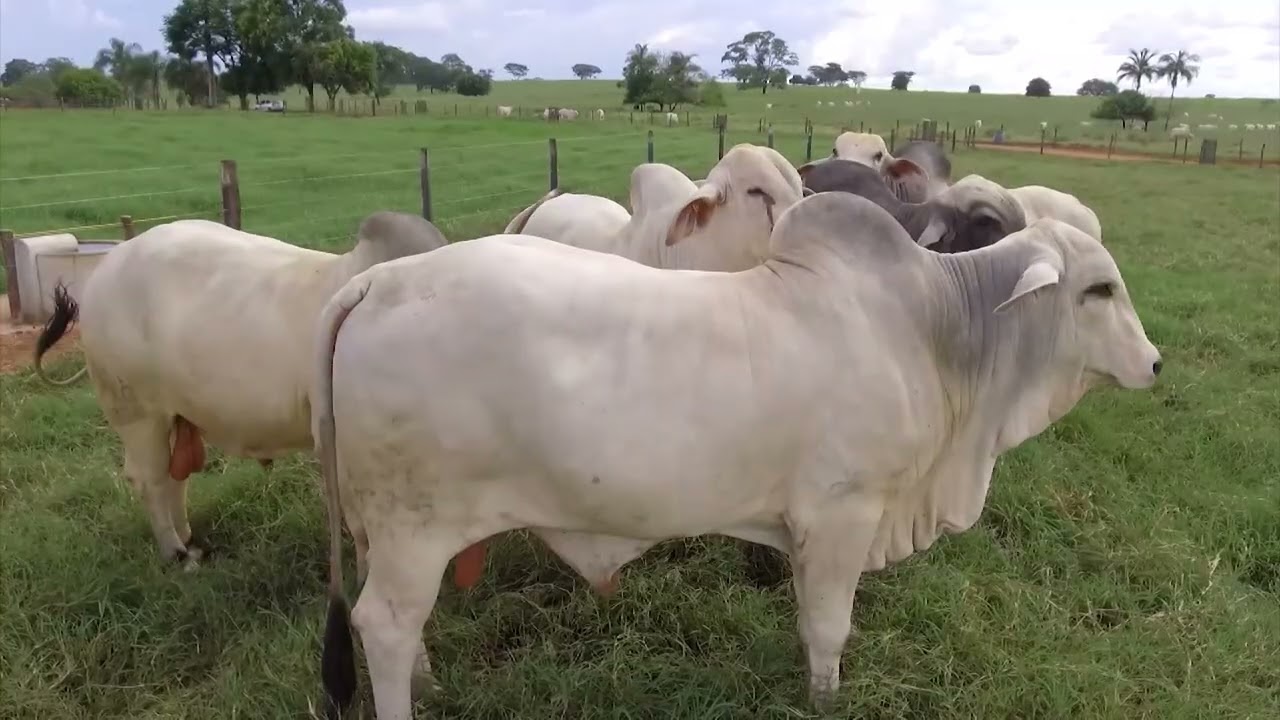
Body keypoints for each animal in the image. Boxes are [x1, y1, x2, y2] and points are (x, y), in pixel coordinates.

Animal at [31, 212, 449, 566]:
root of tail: (109, 264)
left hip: (175, 413)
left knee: (173, 478)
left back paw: (190, 540)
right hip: (136, 410)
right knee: (149, 478)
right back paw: (176, 554)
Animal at [311, 192, 1163, 720]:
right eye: (1098, 290)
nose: (1155, 365)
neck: (935, 331)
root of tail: (377, 282)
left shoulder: (805, 528)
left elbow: (808, 620)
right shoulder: (844, 513)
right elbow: (829, 626)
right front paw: (827, 700)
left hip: (385, 530)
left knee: (399, 622)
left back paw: (430, 680)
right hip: (416, 527)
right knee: (383, 624)